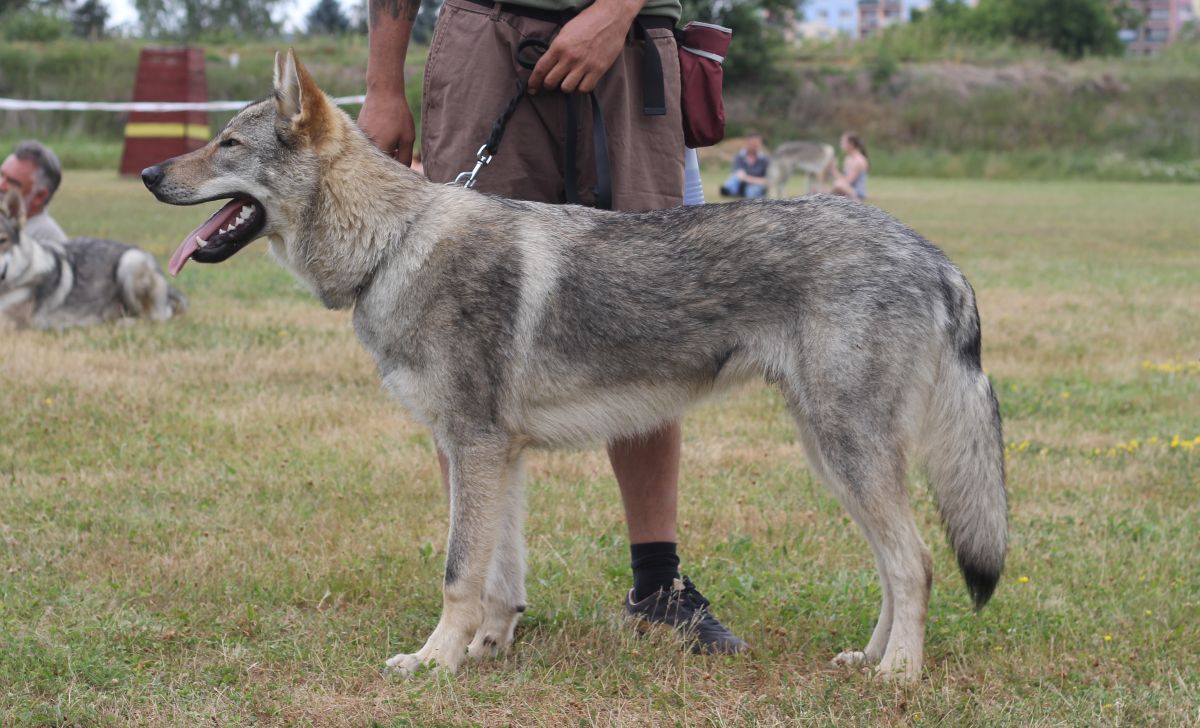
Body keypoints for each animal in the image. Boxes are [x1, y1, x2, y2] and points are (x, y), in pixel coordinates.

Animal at [140, 51, 1008, 681]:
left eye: (226, 143)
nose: (148, 174)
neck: (392, 247)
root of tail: (938, 257)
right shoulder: (493, 454)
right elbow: (498, 576)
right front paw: (483, 651)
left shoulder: (476, 446)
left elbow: (457, 571)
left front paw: (432, 663)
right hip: (834, 458)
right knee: (896, 566)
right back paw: (869, 658)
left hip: (847, 451)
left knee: (916, 562)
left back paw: (898, 676)